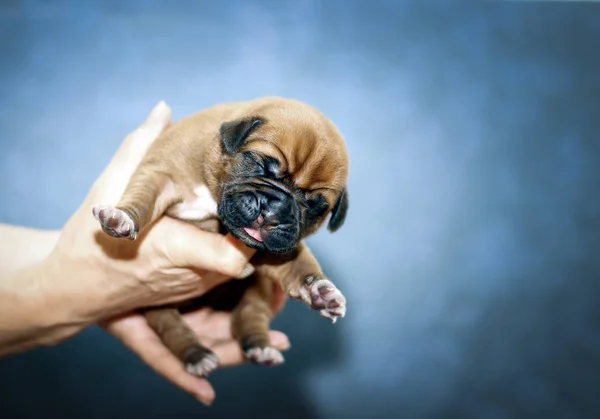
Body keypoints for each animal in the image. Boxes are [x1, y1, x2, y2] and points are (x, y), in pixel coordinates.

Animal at [91, 97, 350, 378]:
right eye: (262, 165)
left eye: (314, 207)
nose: (274, 209)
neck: (213, 189)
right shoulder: (159, 173)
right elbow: (142, 198)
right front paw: (122, 218)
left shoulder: (278, 247)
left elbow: (299, 264)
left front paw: (320, 291)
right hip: (155, 300)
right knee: (170, 325)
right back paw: (196, 354)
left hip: (256, 292)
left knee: (248, 314)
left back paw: (260, 346)